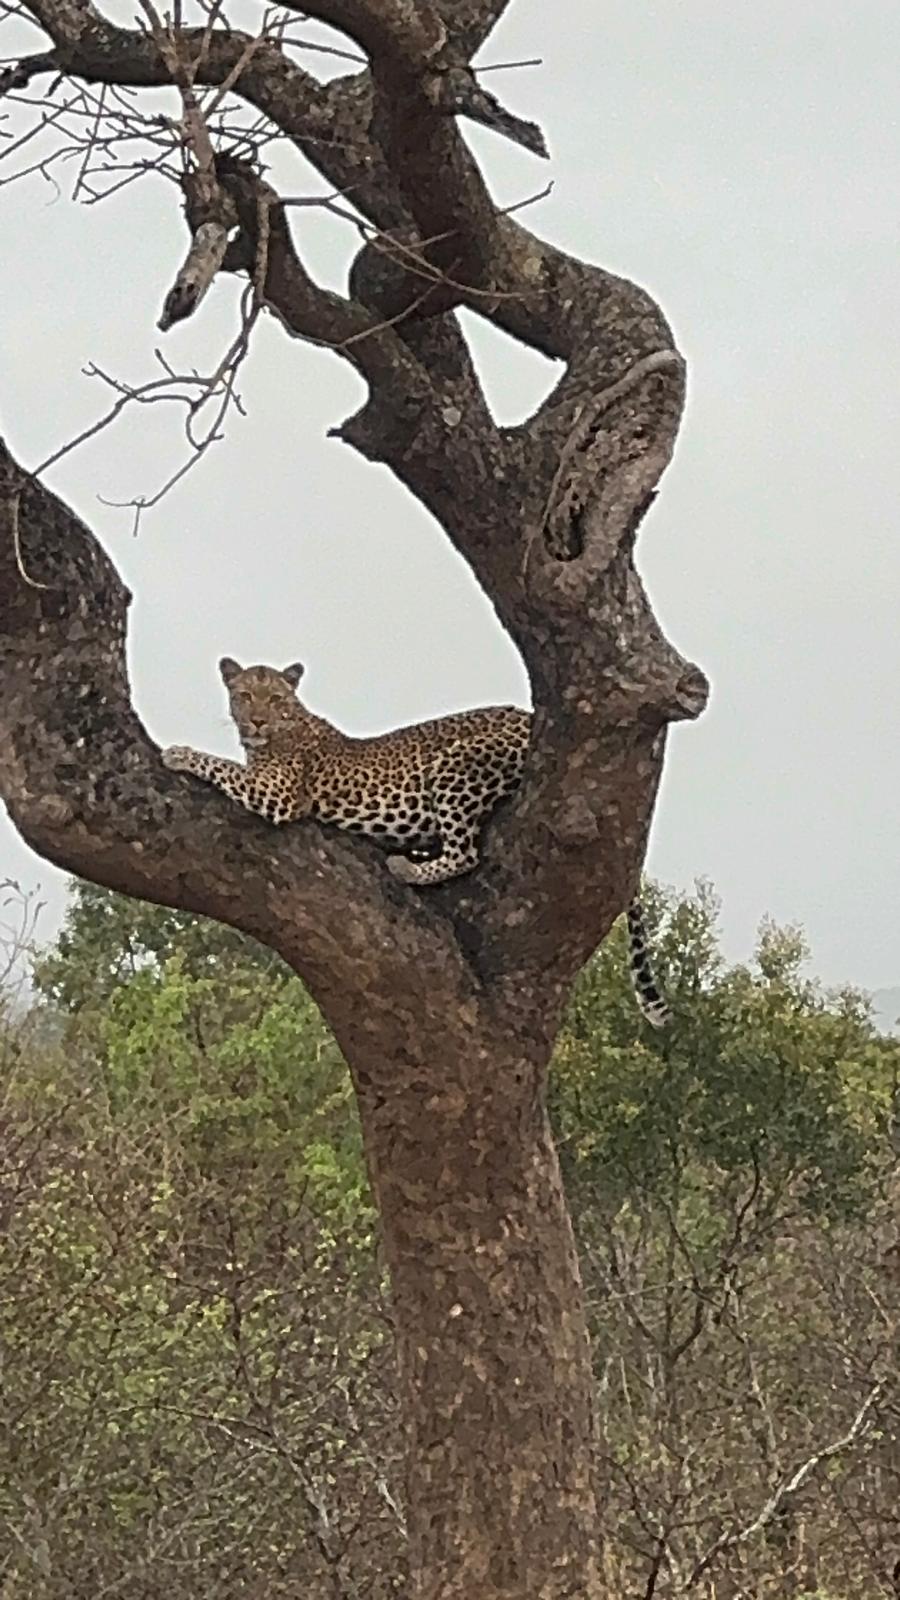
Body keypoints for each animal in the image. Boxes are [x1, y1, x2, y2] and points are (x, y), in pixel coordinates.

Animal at [162, 657, 671, 1028]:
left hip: (456, 764)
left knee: (466, 852)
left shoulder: (277, 794)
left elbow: (223, 766)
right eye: (245, 696)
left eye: (275, 699)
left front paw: (178, 753)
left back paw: (406, 866)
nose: (258, 722)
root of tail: (528, 717)